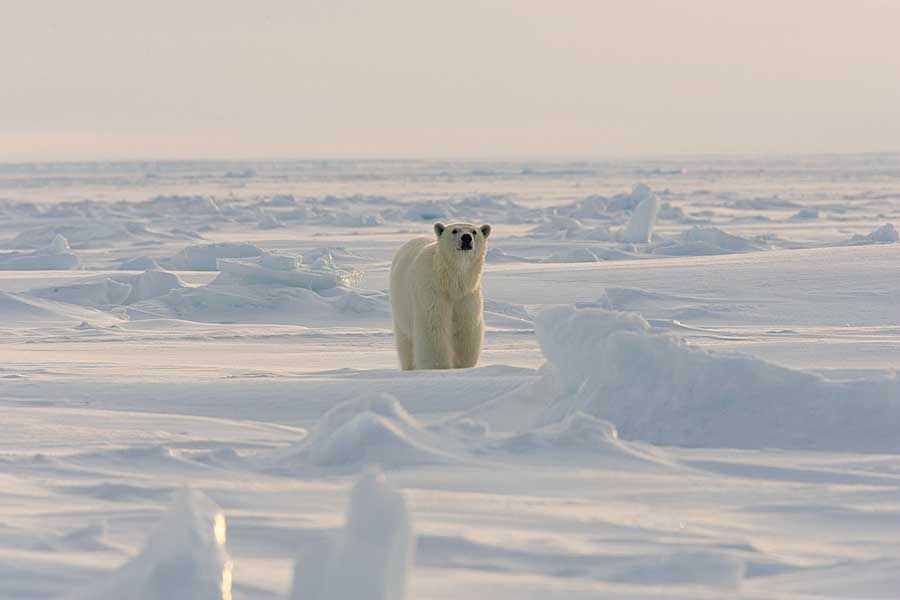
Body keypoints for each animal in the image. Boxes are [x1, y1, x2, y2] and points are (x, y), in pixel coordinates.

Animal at [390, 221, 492, 368]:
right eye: (454, 230)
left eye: (474, 232)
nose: (466, 238)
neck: (450, 282)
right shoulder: (432, 291)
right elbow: (433, 327)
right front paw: (439, 367)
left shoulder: (467, 295)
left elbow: (466, 329)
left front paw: (462, 365)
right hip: (401, 307)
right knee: (405, 344)